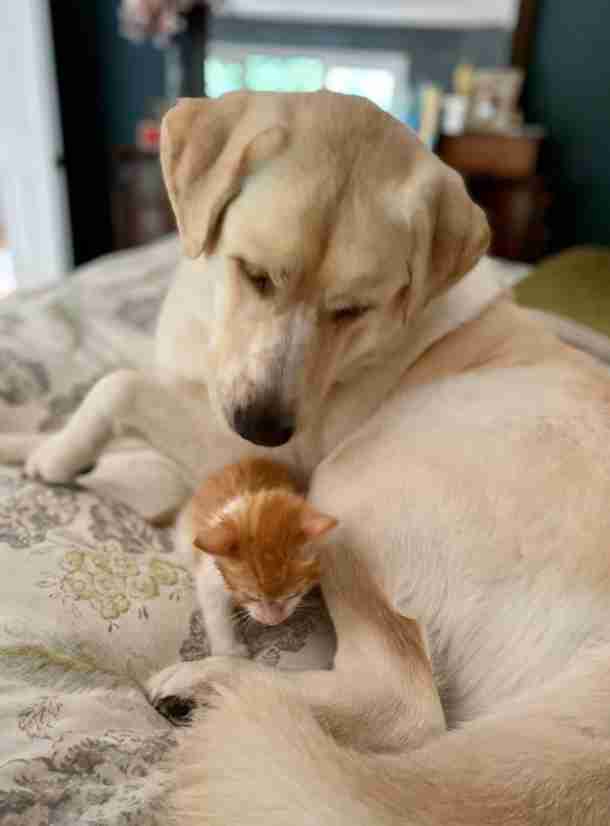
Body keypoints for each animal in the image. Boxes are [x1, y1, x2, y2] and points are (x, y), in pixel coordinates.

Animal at [176, 458, 338, 656]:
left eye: (293, 594)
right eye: (251, 596)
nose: (273, 621)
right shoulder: (209, 574)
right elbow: (215, 611)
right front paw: (229, 650)